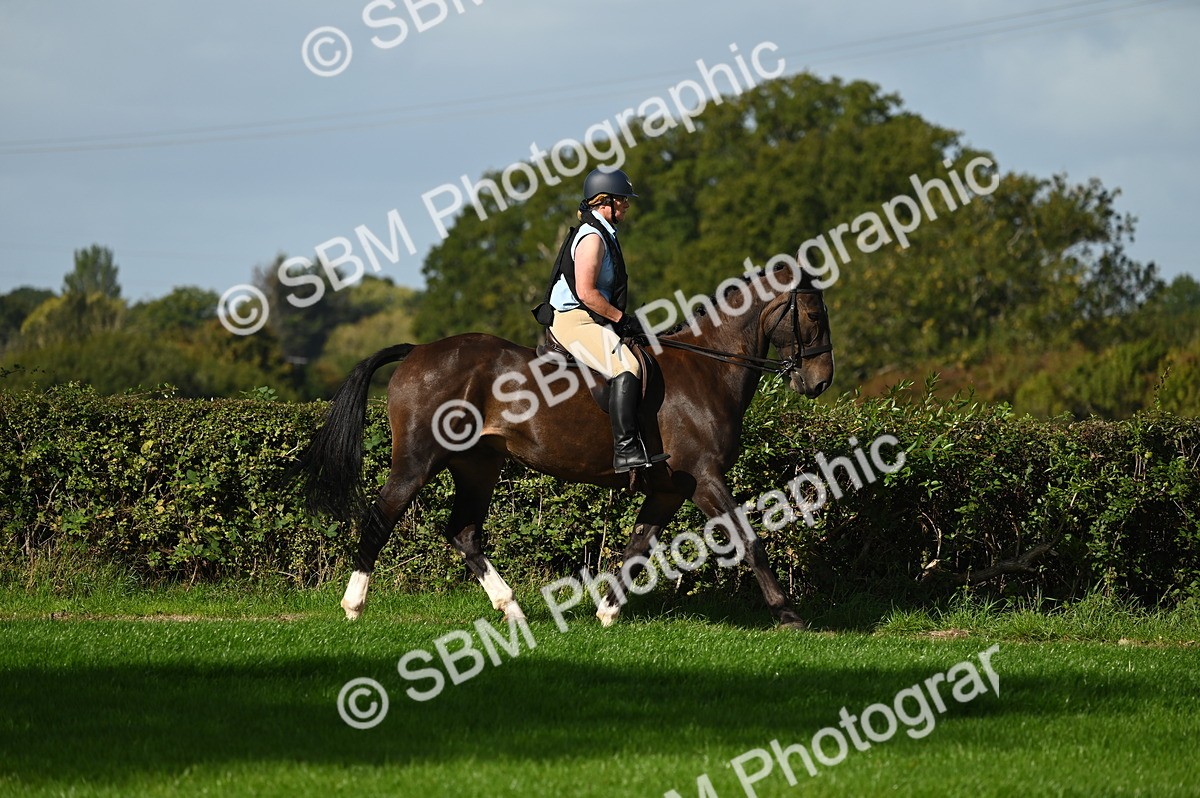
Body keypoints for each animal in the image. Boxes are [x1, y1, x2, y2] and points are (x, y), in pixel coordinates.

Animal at [294, 259, 833, 629]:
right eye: (811, 312)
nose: (820, 381)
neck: (709, 368)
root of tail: (417, 350)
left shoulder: (670, 488)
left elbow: (637, 546)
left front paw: (607, 612)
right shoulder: (705, 478)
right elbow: (749, 539)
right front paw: (789, 615)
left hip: (478, 465)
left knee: (464, 532)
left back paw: (511, 608)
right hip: (418, 461)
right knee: (381, 516)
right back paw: (354, 604)